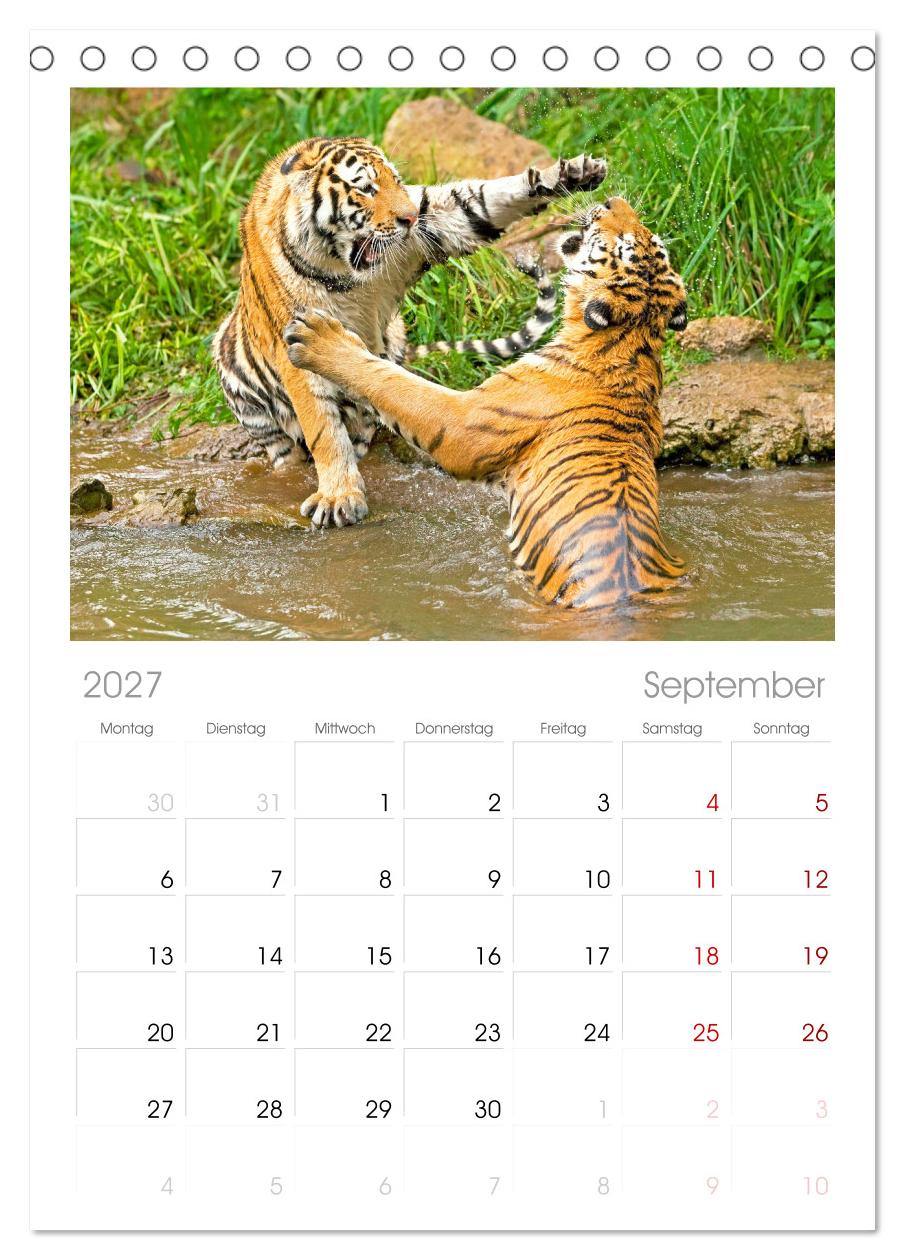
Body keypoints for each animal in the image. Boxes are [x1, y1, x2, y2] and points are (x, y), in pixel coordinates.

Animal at [212, 135, 605, 526]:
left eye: (397, 182)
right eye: (366, 188)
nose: (411, 217)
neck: (341, 271)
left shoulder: (439, 222)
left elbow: (482, 200)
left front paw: (573, 173)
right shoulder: (293, 344)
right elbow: (323, 429)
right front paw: (339, 496)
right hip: (242, 388)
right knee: (287, 448)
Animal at [282, 197, 688, 610]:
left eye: (623, 244)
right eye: (647, 238)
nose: (612, 201)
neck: (633, 343)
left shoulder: (463, 421)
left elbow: (392, 381)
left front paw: (319, 337)